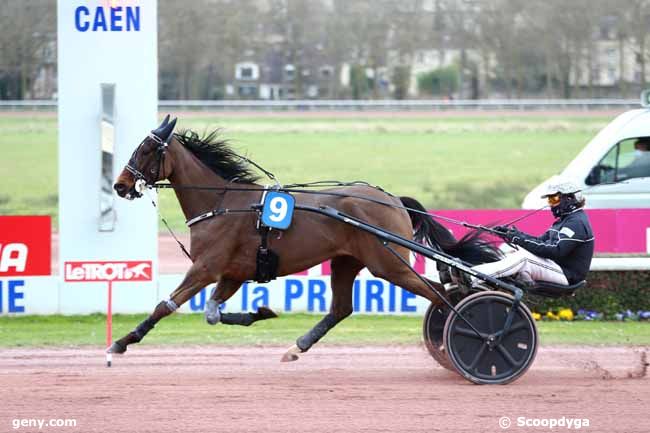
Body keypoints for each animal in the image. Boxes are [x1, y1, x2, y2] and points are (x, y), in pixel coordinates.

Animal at [109, 115, 498, 362]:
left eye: (146, 149)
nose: (120, 185)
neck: (220, 203)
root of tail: (391, 199)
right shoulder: (233, 273)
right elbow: (212, 314)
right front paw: (260, 312)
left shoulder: (205, 268)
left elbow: (165, 306)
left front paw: (122, 342)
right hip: (347, 261)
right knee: (341, 308)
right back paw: (297, 346)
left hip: (389, 264)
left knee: (440, 293)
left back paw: (474, 336)